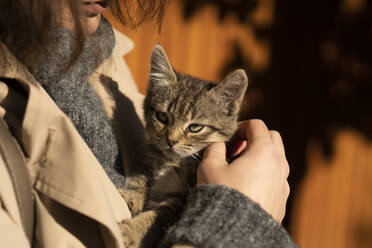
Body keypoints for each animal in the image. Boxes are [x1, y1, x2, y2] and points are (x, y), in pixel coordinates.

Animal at [119, 45, 247, 248]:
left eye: (195, 127)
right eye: (162, 117)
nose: (171, 140)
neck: (171, 162)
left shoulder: (180, 206)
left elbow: (157, 217)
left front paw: (130, 230)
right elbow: (141, 180)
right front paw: (130, 196)